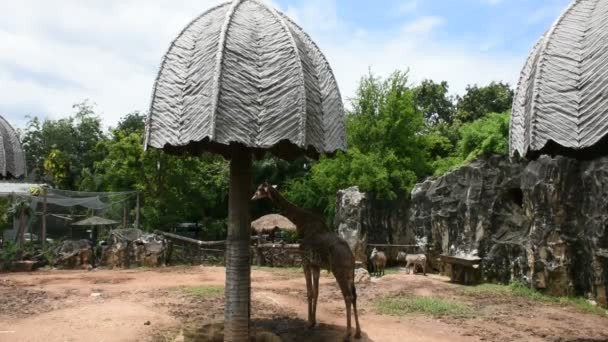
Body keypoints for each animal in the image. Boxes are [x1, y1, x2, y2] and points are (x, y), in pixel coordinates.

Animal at [252, 182, 360, 340]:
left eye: (260, 189)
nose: (252, 197)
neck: (301, 221)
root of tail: (351, 256)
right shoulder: (316, 265)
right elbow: (316, 292)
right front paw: (314, 322)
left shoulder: (305, 260)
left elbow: (309, 292)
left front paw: (309, 323)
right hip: (350, 272)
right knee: (354, 295)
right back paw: (357, 332)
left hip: (338, 270)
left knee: (347, 295)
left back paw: (347, 334)